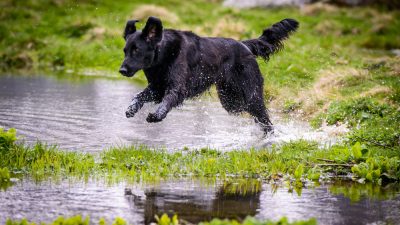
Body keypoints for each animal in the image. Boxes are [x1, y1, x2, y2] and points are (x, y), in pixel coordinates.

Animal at [120, 17, 298, 134]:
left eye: (137, 50)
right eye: (125, 51)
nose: (122, 70)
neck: (165, 54)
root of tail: (245, 45)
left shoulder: (177, 88)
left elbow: (167, 101)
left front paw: (156, 115)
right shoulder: (157, 88)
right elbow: (138, 96)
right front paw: (131, 109)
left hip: (251, 96)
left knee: (265, 119)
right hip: (231, 101)